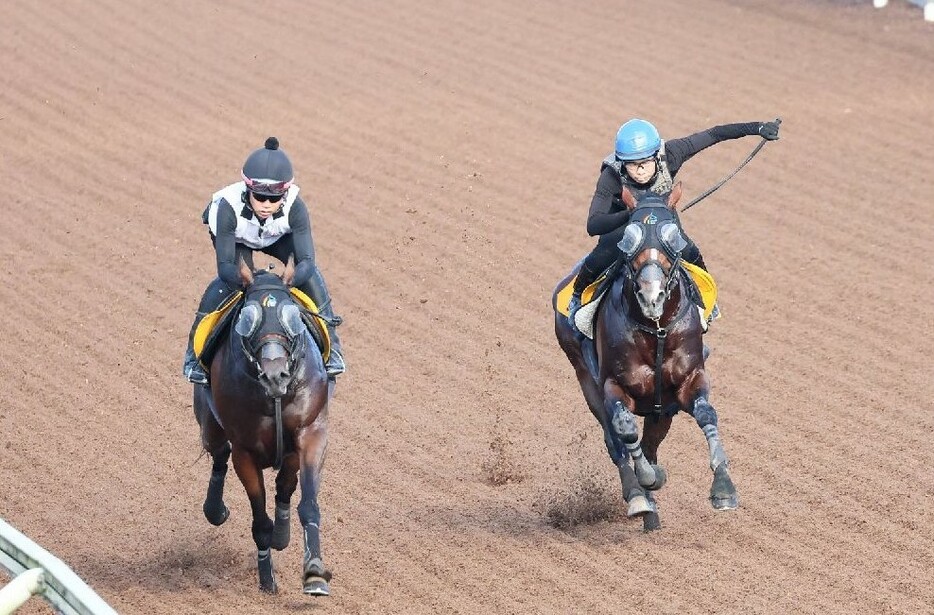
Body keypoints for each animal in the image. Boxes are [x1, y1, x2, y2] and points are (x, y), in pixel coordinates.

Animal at [193, 260, 332, 596]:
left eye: (292, 316)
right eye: (248, 318)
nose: (274, 375)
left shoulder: (311, 433)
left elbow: (307, 503)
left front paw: (314, 572)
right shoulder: (245, 452)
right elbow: (260, 521)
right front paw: (267, 579)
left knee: (284, 485)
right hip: (209, 424)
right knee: (219, 455)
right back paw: (215, 510)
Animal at [556, 182, 740, 528]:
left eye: (673, 237)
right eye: (629, 237)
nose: (651, 296)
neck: (656, 329)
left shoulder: (687, 382)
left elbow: (707, 414)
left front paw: (724, 489)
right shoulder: (614, 385)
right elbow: (625, 431)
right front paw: (645, 483)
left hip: (662, 410)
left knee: (650, 444)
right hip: (585, 379)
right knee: (615, 443)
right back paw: (639, 497)